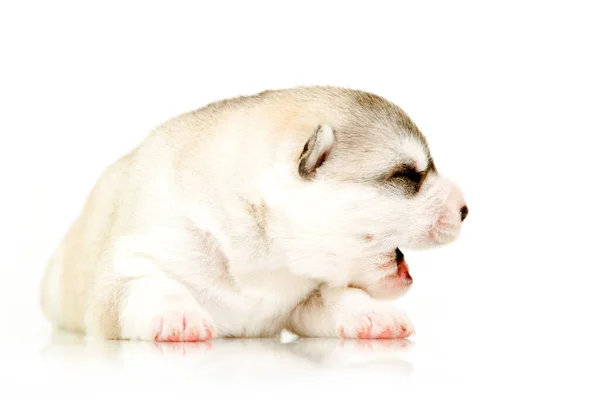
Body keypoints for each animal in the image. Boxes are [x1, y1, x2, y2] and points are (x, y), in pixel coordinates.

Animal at [38, 86, 468, 342]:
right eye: (406, 175)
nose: (466, 209)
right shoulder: (128, 267)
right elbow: (153, 285)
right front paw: (177, 315)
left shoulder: (305, 294)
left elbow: (338, 295)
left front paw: (371, 314)